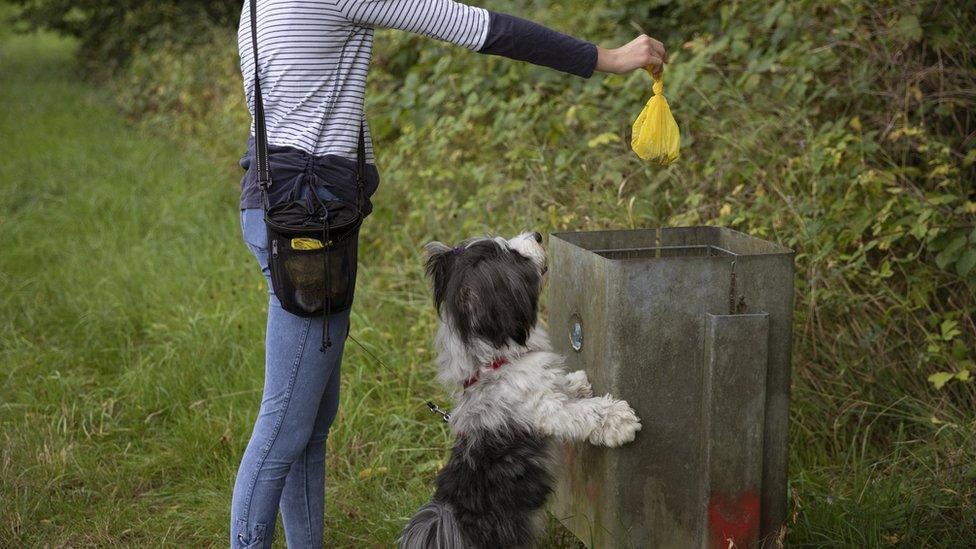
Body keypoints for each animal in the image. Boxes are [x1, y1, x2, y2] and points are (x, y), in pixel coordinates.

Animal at [396, 232, 640, 548]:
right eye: (512, 256)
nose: (537, 235)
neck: (494, 364)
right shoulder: (545, 410)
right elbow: (583, 413)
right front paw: (619, 419)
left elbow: (562, 387)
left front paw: (576, 382)